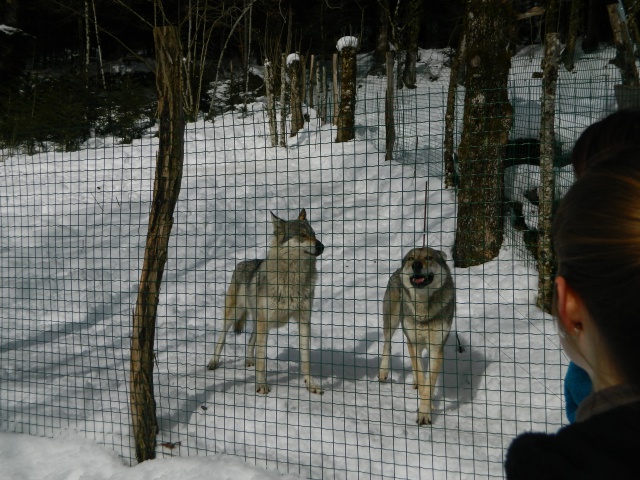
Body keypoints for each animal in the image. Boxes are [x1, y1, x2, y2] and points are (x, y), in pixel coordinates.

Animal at [208, 208, 324, 396]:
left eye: (314, 234)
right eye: (302, 235)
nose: (322, 246)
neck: (293, 279)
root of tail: (242, 263)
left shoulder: (304, 321)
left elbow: (306, 360)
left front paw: (311, 385)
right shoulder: (264, 323)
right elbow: (262, 360)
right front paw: (261, 385)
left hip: (259, 321)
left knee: (250, 340)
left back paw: (249, 360)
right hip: (235, 316)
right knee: (222, 338)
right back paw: (213, 362)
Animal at [380, 248, 456, 424]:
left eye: (429, 257)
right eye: (411, 258)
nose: (416, 265)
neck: (423, 308)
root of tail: (397, 270)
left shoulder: (436, 348)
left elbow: (429, 382)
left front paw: (425, 412)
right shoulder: (413, 342)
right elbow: (423, 379)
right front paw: (424, 411)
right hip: (392, 321)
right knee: (387, 344)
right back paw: (383, 373)